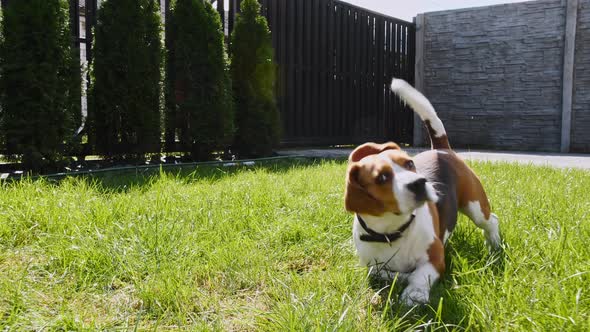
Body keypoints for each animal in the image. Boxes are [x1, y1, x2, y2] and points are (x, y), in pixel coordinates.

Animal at [344, 78, 502, 306]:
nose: (420, 183)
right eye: (381, 177)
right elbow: (384, 273)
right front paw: (402, 278)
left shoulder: (435, 259)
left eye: (410, 163)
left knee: (492, 221)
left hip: (475, 206)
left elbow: (420, 274)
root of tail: (441, 149)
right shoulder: (371, 267)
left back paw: (495, 245)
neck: (393, 231)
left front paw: (414, 293)